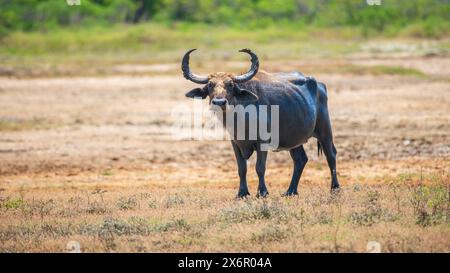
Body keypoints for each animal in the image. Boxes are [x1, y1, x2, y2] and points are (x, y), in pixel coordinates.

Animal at [181, 48, 340, 198]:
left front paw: (262, 192)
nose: (219, 102)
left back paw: (334, 188)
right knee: (300, 159)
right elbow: (242, 168)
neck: (242, 120)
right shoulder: (235, 143)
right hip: (294, 139)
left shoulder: (262, 142)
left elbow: (260, 167)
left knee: (331, 155)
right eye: (210, 85)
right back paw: (290, 191)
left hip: (325, 130)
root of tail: (319, 85)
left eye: (230, 84)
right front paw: (242, 193)